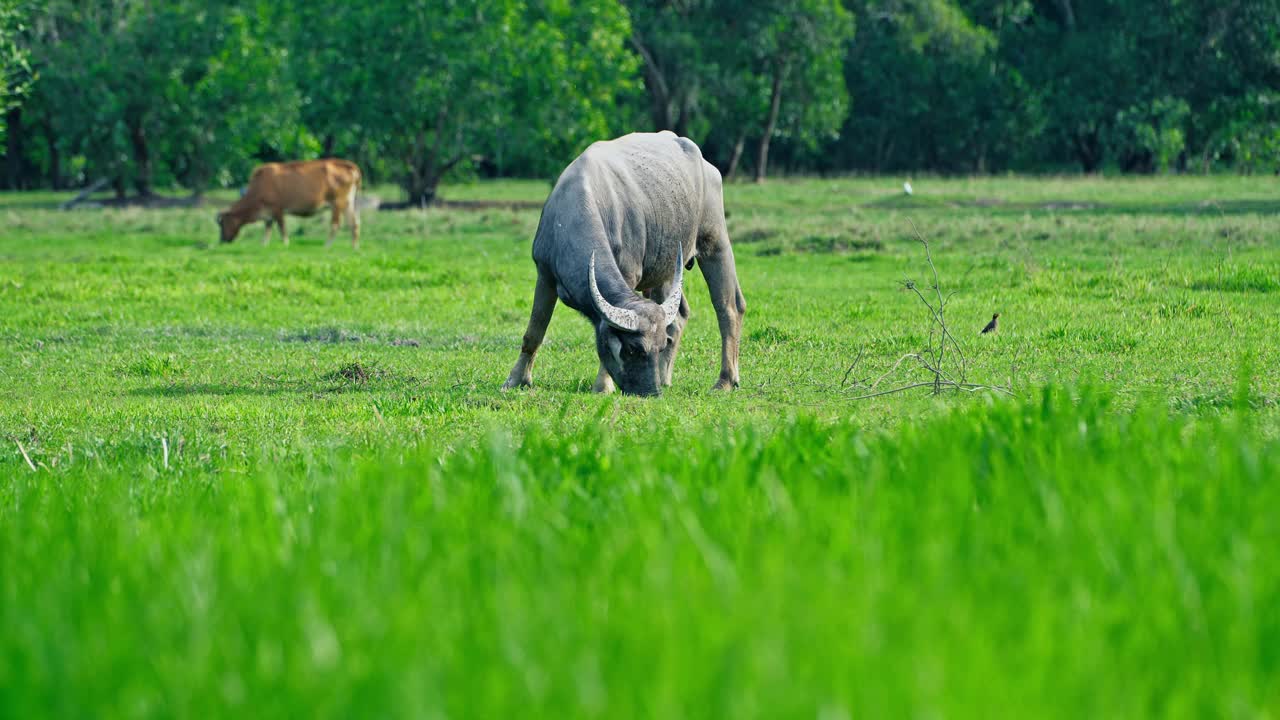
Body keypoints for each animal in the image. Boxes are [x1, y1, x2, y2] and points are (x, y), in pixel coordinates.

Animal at [217, 156, 363, 245]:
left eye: (223, 223)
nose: (222, 240)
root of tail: (348, 165)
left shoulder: (278, 209)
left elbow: (282, 228)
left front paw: (285, 243)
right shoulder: (269, 214)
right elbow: (267, 229)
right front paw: (263, 244)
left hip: (337, 203)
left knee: (336, 224)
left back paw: (327, 246)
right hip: (348, 203)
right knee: (354, 223)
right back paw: (354, 247)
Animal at [496, 131, 742, 394]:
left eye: (658, 346)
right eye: (635, 349)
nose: (651, 392)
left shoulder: (629, 274)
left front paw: (603, 386)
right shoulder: (545, 275)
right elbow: (535, 331)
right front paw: (515, 380)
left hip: (715, 242)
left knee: (729, 308)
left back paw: (725, 380)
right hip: (664, 269)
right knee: (679, 316)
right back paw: (666, 377)